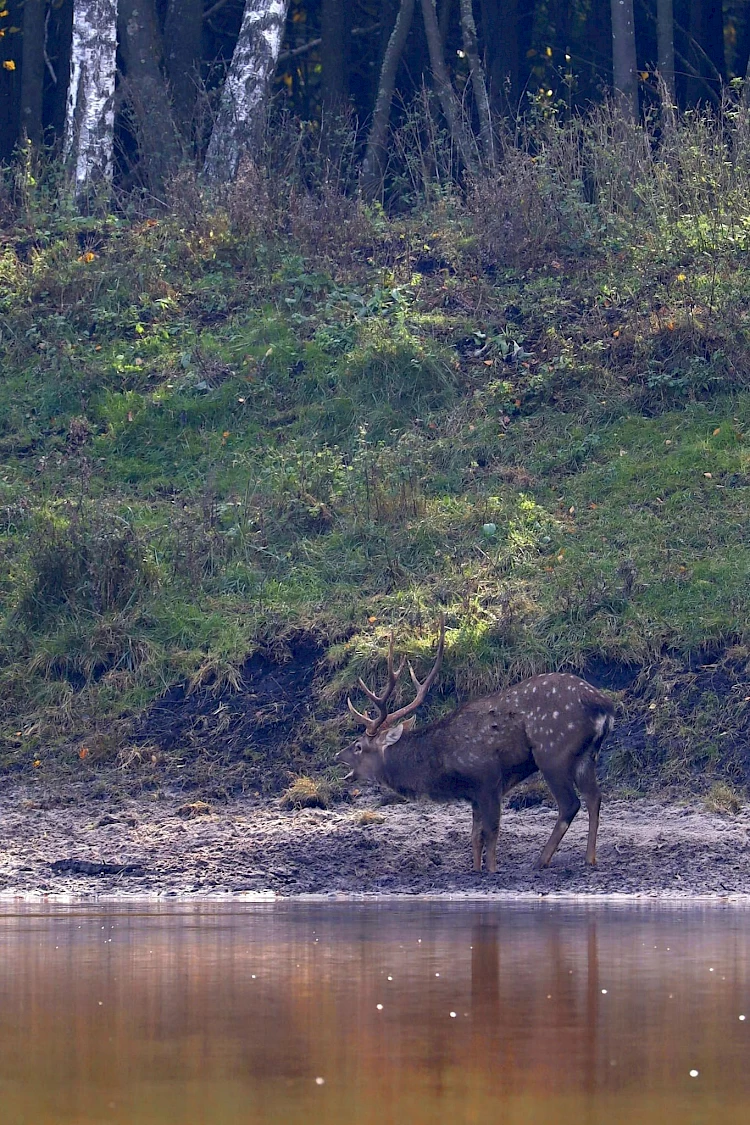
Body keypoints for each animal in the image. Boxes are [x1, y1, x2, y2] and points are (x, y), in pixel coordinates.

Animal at [336, 617, 615, 874]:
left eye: (358, 746)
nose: (338, 755)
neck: (443, 764)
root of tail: (603, 706)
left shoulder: (488, 778)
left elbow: (491, 832)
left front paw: (491, 870)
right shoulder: (474, 794)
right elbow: (475, 836)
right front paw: (476, 869)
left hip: (552, 752)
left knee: (570, 803)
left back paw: (540, 861)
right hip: (587, 755)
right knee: (594, 797)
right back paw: (590, 858)